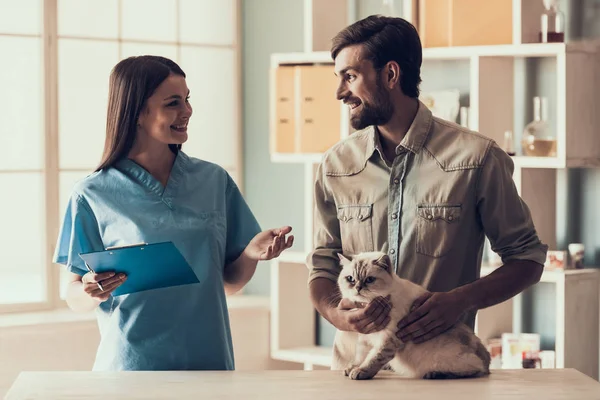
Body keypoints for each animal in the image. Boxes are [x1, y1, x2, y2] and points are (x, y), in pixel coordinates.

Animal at [336, 252, 490, 380]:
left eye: (369, 280)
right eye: (350, 279)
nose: (357, 288)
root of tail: (484, 353)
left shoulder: (388, 339)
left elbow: (373, 359)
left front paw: (360, 372)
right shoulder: (366, 337)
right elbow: (360, 358)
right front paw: (350, 369)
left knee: (477, 370)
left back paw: (435, 374)